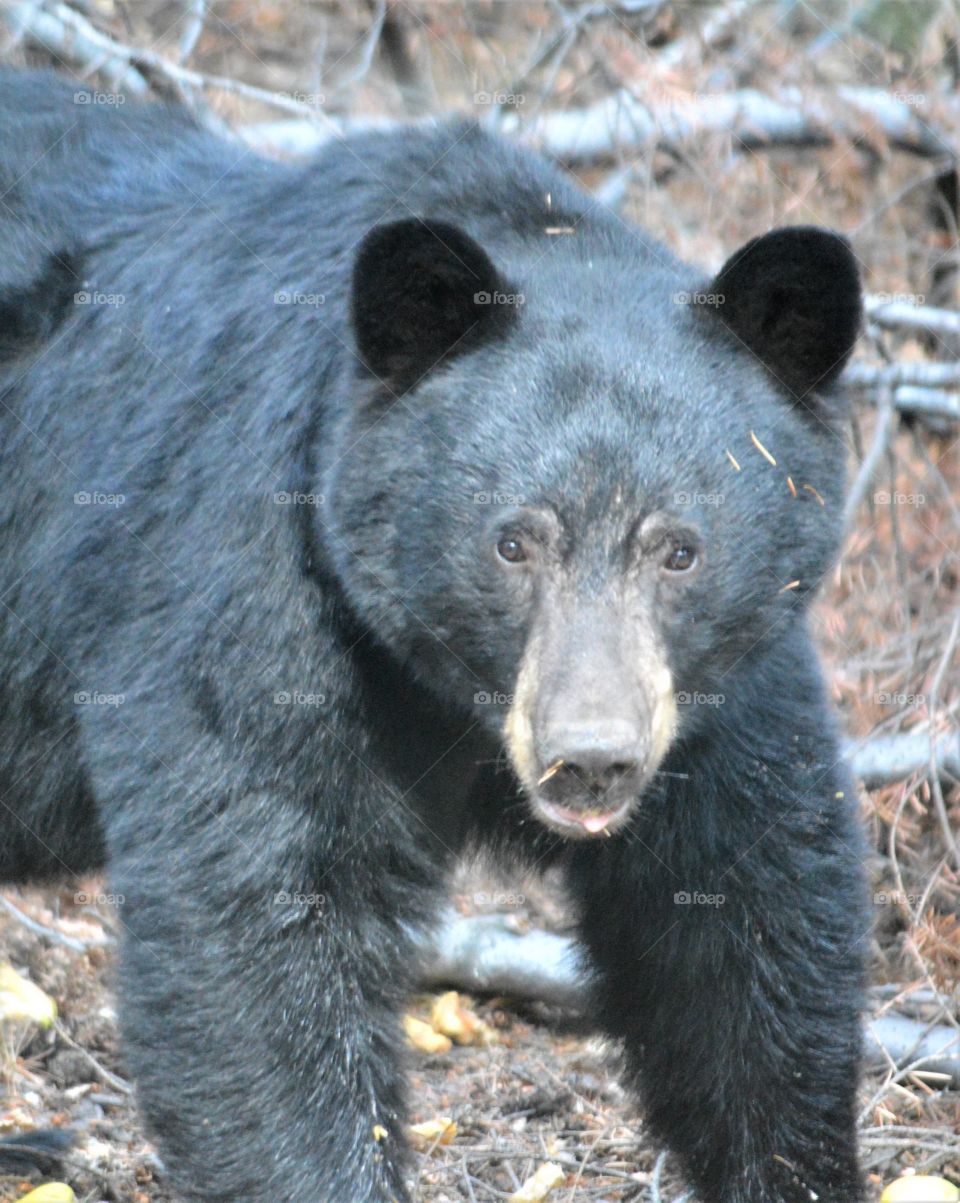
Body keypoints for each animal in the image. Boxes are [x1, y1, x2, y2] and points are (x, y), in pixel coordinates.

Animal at [0, 68, 867, 1203]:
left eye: (679, 549)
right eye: (513, 541)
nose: (591, 758)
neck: (451, 693)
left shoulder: (716, 686)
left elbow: (742, 921)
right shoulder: (251, 580)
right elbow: (259, 918)